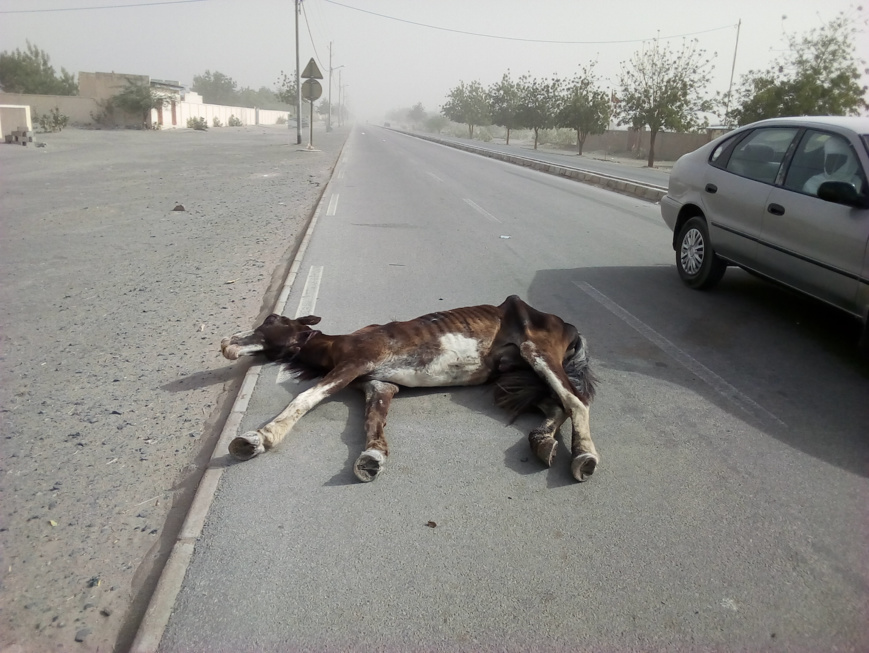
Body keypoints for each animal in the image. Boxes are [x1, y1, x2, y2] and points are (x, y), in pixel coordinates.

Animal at [219, 292, 596, 482]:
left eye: (272, 320)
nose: (226, 343)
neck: (336, 344)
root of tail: (566, 324)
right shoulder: (379, 385)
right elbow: (372, 422)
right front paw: (372, 456)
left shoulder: (355, 363)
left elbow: (304, 398)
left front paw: (259, 437)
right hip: (514, 376)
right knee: (555, 404)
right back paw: (543, 442)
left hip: (537, 351)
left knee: (575, 401)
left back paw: (585, 457)